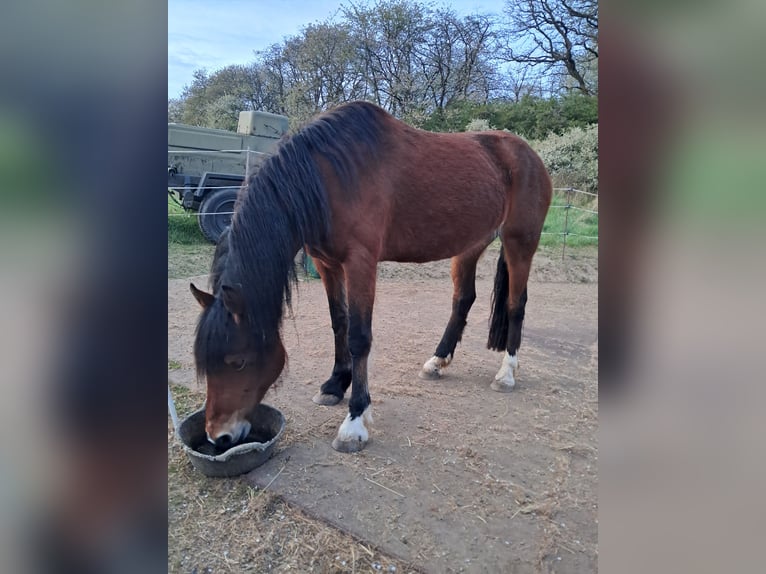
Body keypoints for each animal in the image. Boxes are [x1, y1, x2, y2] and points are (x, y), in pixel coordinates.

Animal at [190, 101, 552, 453]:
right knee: (463, 299)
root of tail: (529, 155)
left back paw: (507, 373)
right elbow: (339, 323)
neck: (329, 177)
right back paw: (437, 361)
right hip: (469, 245)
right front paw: (335, 385)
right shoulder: (327, 264)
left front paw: (355, 421)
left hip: (520, 242)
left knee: (516, 304)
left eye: (237, 361)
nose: (218, 437)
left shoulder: (360, 263)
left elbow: (359, 337)